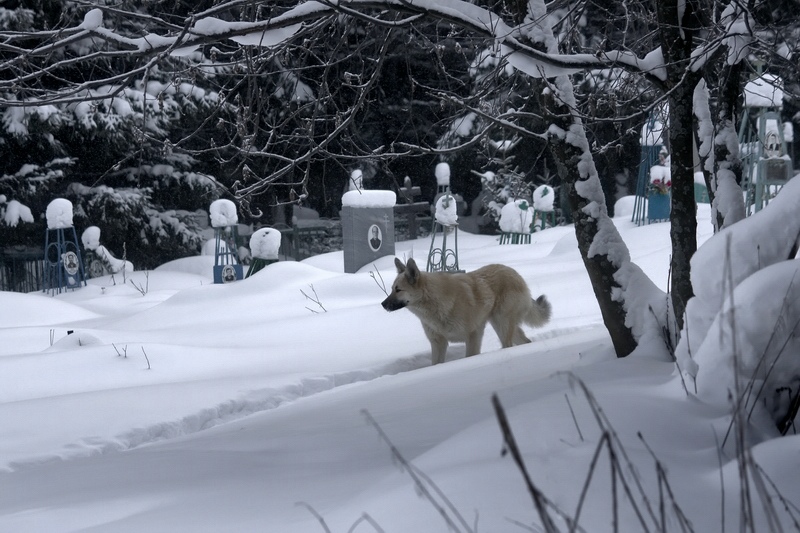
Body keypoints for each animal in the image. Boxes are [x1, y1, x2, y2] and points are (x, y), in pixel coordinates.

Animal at [382, 256, 552, 364]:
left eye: (398, 290)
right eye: (391, 289)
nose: (383, 304)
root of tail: (515, 274)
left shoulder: (473, 336)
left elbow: (470, 357)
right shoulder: (438, 343)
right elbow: (436, 364)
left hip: (502, 325)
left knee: (508, 345)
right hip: (502, 325)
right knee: (525, 341)